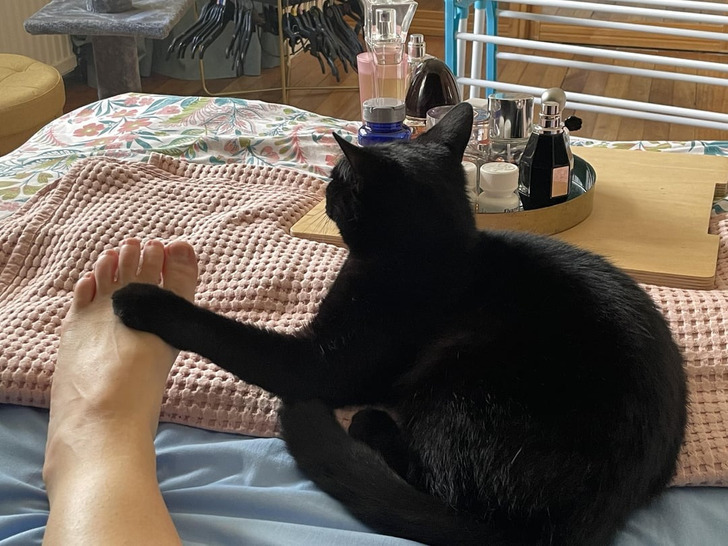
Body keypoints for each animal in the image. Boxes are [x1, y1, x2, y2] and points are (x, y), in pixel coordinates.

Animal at [112, 102, 687, 546]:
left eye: (337, 181)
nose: (323, 192)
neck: (430, 252)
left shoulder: (319, 364)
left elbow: (223, 332)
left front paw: (141, 298)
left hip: (456, 380)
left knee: (435, 484)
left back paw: (368, 425)